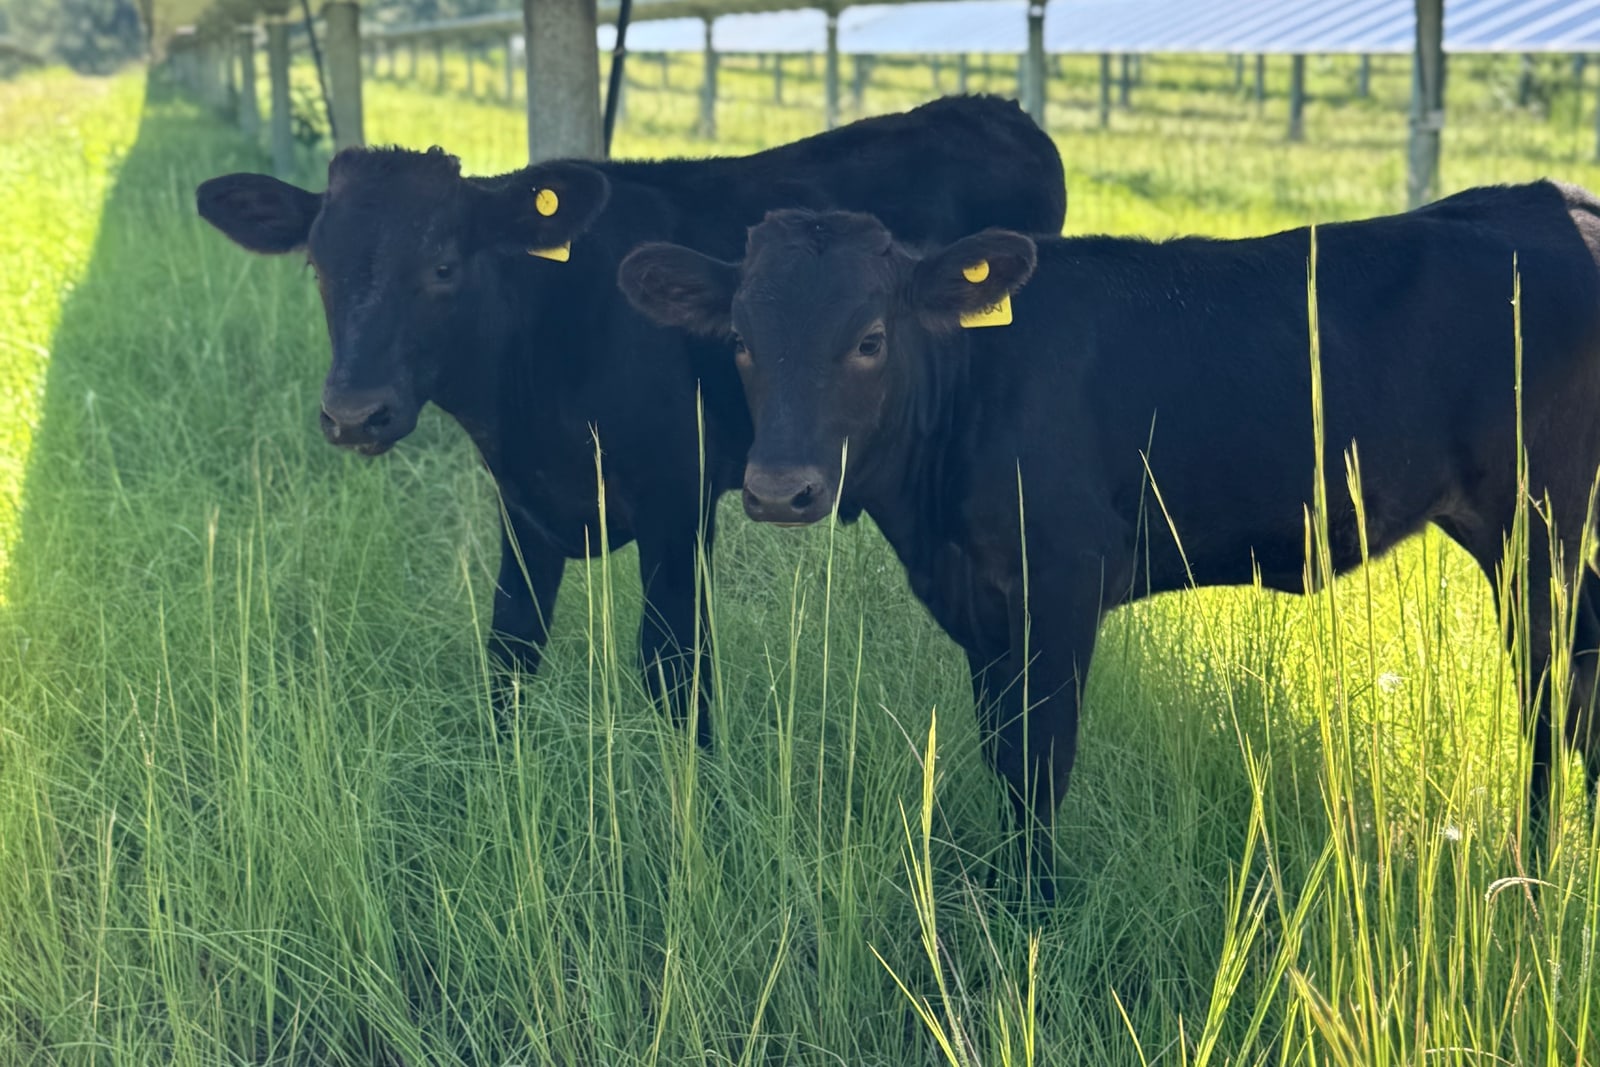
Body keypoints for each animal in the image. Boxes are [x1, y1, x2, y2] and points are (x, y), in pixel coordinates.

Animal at [193, 95, 1066, 745]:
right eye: (317, 266)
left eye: (442, 265)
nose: (353, 414)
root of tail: (992, 108)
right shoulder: (523, 504)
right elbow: (510, 649)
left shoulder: (681, 500)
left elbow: (675, 664)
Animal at [617, 182, 1600, 897]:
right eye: (741, 339)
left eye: (869, 337)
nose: (778, 489)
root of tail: (1549, 198)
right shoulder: (984, 605)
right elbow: (1002, 751)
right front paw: (1006, 886)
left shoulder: (1060, 582)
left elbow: (1041, 759)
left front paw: (1036, 906)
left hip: (1538, 520)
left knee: (1551, 686)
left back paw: (1533, 869)